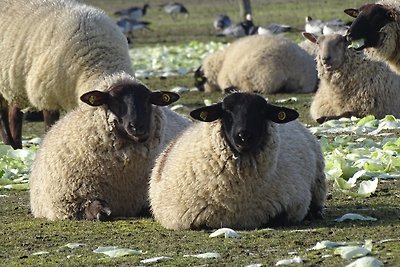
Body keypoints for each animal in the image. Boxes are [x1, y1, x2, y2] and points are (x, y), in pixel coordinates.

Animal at [0, 0, 134, 150]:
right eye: (115, 104)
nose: (135, 129)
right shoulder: (46, 97)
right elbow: (49, 126)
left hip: (15, 85)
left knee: (13, 112)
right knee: (6, 115)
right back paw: (11, 144)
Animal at [29, 72, 191, 221]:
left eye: (148, 100)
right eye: (114, 100)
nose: (137, 126)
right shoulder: (74, 200)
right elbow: (99, 211)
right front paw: (103, 211)